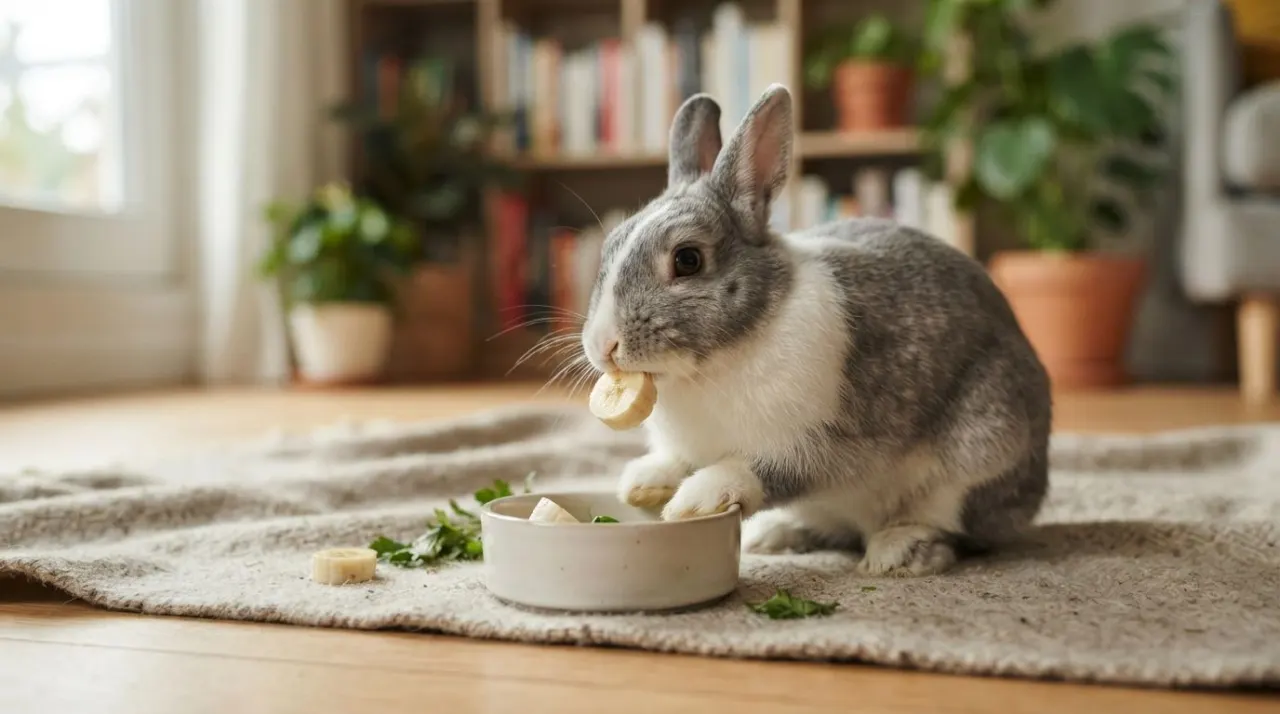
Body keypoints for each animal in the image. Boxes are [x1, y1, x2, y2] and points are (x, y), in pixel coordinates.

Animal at [579, 84, 1051, 577]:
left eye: (687, 259)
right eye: (611, 244)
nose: (602, 345)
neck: (720, 359)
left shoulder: (819, 447)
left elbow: (763, 470)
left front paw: (698, 499)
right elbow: (675, 461)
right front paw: (640, 484)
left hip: (982, 452)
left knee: (950, 528)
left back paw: (899, 551)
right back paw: (773, 535)